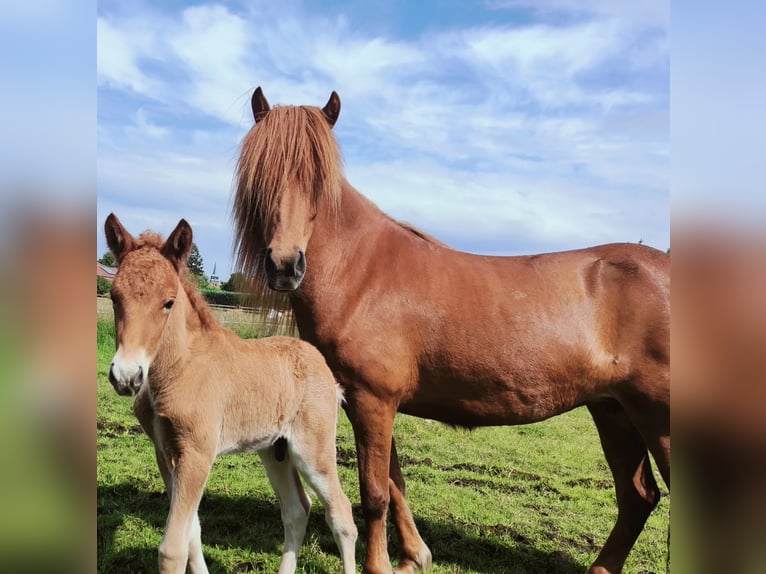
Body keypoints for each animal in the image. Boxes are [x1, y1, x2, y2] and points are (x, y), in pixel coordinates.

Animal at [103, 214, 358, 572]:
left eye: (168, 302)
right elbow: (192, 532)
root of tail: (321, 364)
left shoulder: (197, 453)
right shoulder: (165, 452)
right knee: (297, 509)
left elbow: (173, 548)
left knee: (341, 515)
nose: (126, 376)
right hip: (275, 449)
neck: (181, 366)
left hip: (313, 450)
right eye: (114, 297)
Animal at [231, 89, 668, 574]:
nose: (284, 266)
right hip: (614, 411)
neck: (361, 272)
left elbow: (375, 493)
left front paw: (379, 565)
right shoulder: (374, 403)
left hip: (658, 417)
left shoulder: (372, 400)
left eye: (318, 180)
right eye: (263, 176)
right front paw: (414, 557)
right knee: (638, 497)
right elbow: (395, 482)